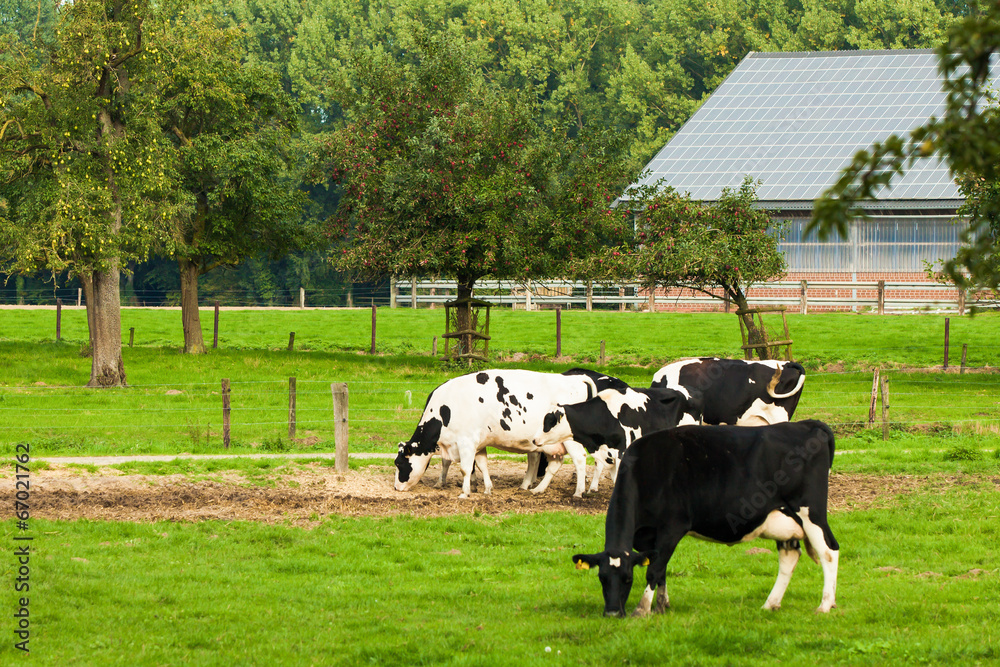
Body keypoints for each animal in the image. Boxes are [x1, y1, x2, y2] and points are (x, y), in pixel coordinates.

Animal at [394, 369, 607, 498]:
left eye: (398, 463)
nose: (396, 487)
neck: (445, 410)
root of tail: (575, 378)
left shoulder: (466, 442)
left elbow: (465, 469)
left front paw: (464, 493)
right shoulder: (478, 444)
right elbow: (482, 465)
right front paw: (487, 488)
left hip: (570, 440)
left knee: (580, 459)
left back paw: (579, 492)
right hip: (550, 444)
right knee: (554, 465)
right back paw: (537, 489)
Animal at [571, 421, 839, 617]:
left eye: (628, 579)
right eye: (602, 578)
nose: (612, 613)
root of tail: (808, 424)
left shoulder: (672, 527)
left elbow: (655, 570)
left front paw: (642, 609)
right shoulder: (652, 538)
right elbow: (661, 569)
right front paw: (662, 605)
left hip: (810, 511)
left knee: (829, 551)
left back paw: (825, 605)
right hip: (783, 517)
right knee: (789, 556)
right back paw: (770, 604)